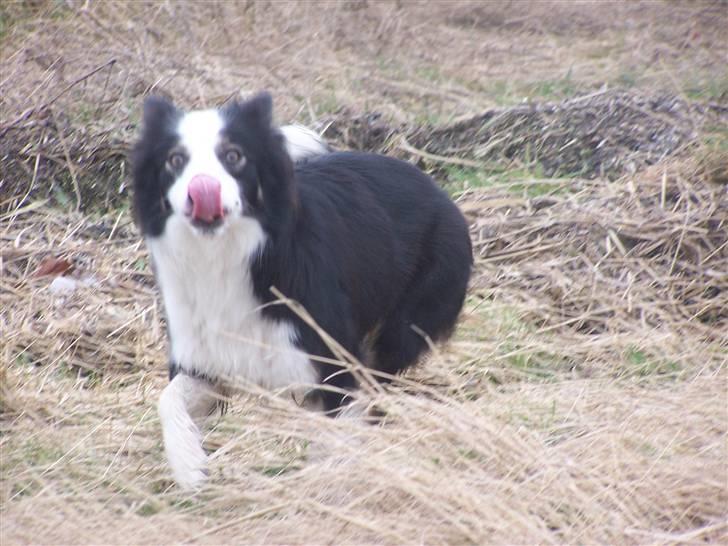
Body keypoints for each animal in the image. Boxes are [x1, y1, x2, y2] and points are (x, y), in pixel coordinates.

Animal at [131, 91, 472, 486]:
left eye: (234, 156)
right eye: (175, 160)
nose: (202, 190)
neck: (229, 256)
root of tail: (438, 190)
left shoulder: (332, 358)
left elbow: (337, 431)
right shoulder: (207, 360)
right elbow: (169, 400)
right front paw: (190, 467)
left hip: (403, 324)